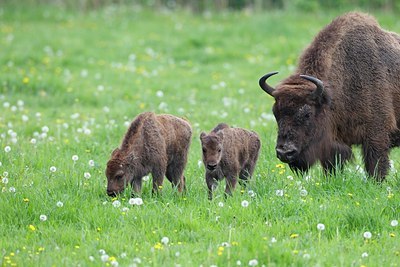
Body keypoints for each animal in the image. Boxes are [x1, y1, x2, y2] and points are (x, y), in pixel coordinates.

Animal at [260, 11, 400, 181]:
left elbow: (376, 166)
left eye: (307, 114)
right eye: (275, 113)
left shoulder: (376, 136)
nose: (284, 153)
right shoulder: (332, 143)